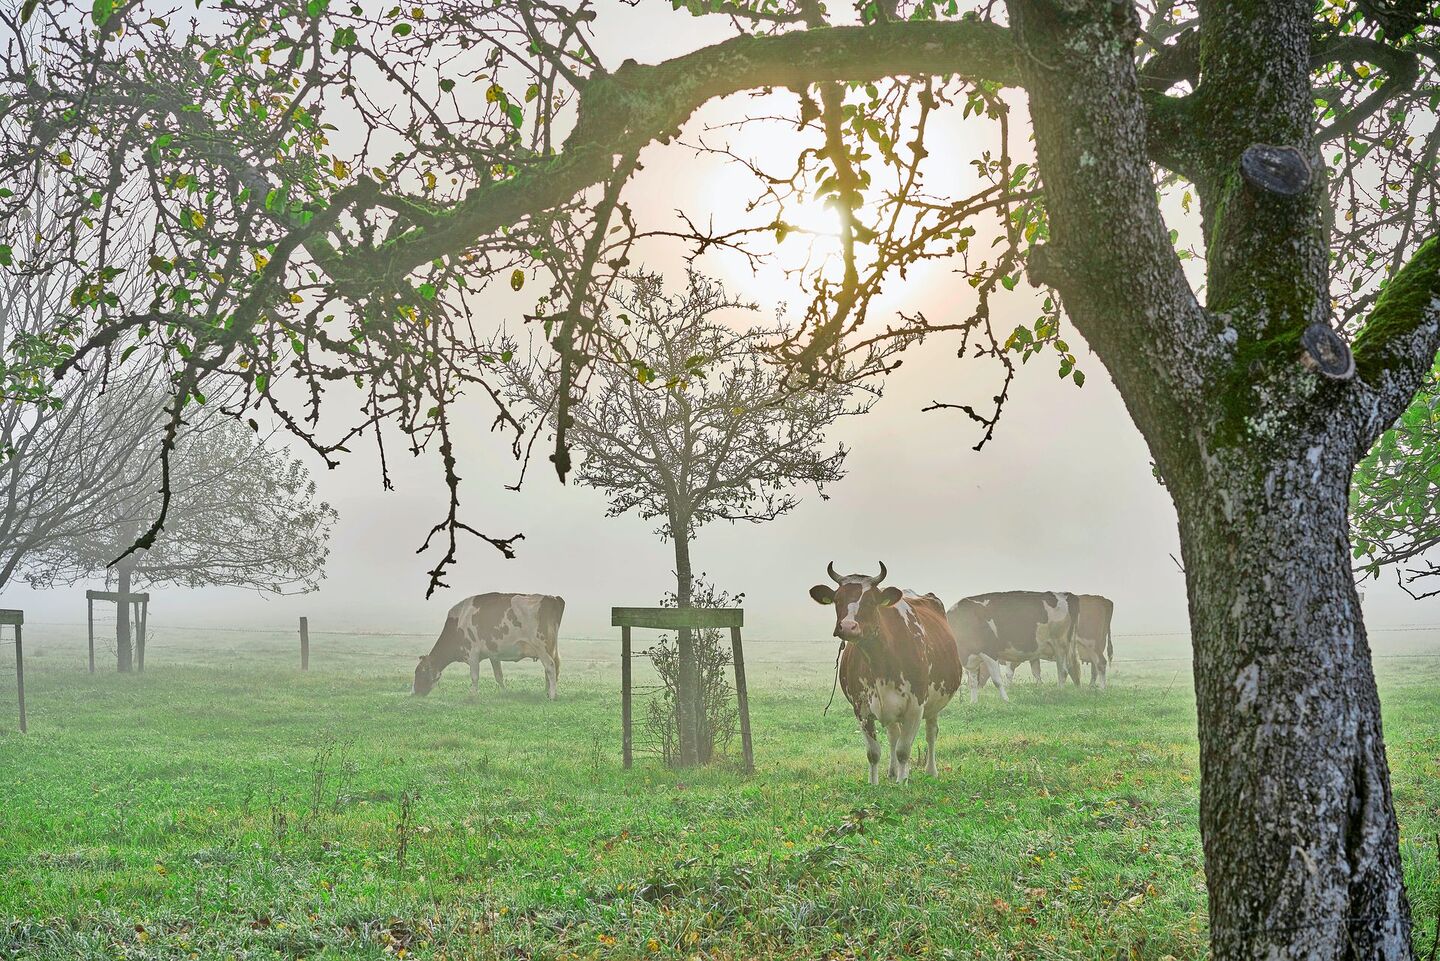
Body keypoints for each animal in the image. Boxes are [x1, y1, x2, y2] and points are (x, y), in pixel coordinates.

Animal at [412, 593, 565, 699]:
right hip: (551, 648)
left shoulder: (472, 652)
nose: (413, 693)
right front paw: (505, 692)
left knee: (550, 667)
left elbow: (474, 675)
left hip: (541, 646)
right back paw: (548, 692)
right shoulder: (494, 655)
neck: (458, 622)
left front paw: (472, 695)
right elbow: (499, 676)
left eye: (420, 673)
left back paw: (552, 695)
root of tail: (552, 598)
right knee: (553, 668)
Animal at [809, 562, 962, 784]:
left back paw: (930, 771)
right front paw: (875, 783)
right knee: (893, 735)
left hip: (934, 704)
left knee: (931, 732)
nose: (847, 626)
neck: (879, 661)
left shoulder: (915, 706)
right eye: (837, 599)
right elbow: (874, 752)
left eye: (871, 601)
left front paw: (902, 783)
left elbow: (904, 751)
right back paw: (892, 772)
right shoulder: (861, 708)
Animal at [945, 590, 1081, 703]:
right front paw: (973, 703)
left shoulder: (989, 652)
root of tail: (1066, 594)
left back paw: (1060, 691)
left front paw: (1006, 700)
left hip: (1060, 644)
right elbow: (973, 682)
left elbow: (997, 680)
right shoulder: (970, 658)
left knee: (1062, 670)